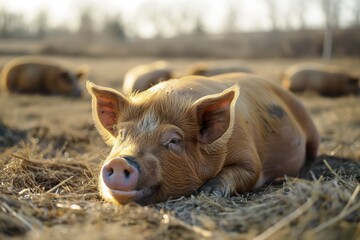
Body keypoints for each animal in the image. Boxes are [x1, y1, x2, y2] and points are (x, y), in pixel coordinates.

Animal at [87, 71, 318, 204]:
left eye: (174, 141)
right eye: (122, 134)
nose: (120, 161)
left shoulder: (251, 160)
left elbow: (244, 173)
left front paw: (209, 193)